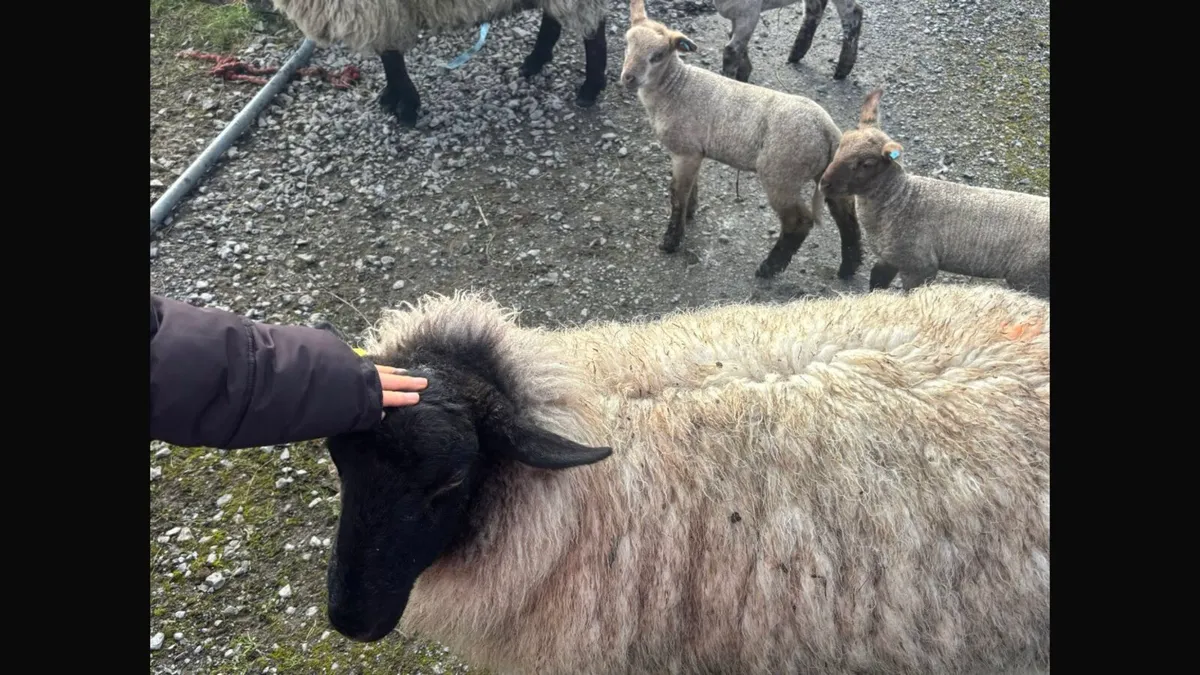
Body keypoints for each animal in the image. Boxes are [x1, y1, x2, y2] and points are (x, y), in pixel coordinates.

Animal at [269, 0, 609, 127]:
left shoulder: (379, 11)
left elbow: (391, 58)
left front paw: (406, 107)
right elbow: (388, 57)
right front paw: (392, 98)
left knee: (594, 31)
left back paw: (590, 88)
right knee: (554, 19)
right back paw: (534, 62)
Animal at [716, 0, 864, 82]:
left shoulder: (749, 11)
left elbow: (732, 50)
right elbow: (734, 41)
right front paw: (744, 74)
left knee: (854, 12)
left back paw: (842, 70)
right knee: (815, 10)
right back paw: (795, 54)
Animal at [820, 89, 1050, 298]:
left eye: (867, 164)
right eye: (841, 143)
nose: (825, 183)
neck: (900, 201)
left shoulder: (919, 266)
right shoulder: (891, 257)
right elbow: (876, 281)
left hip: (1031, 280)